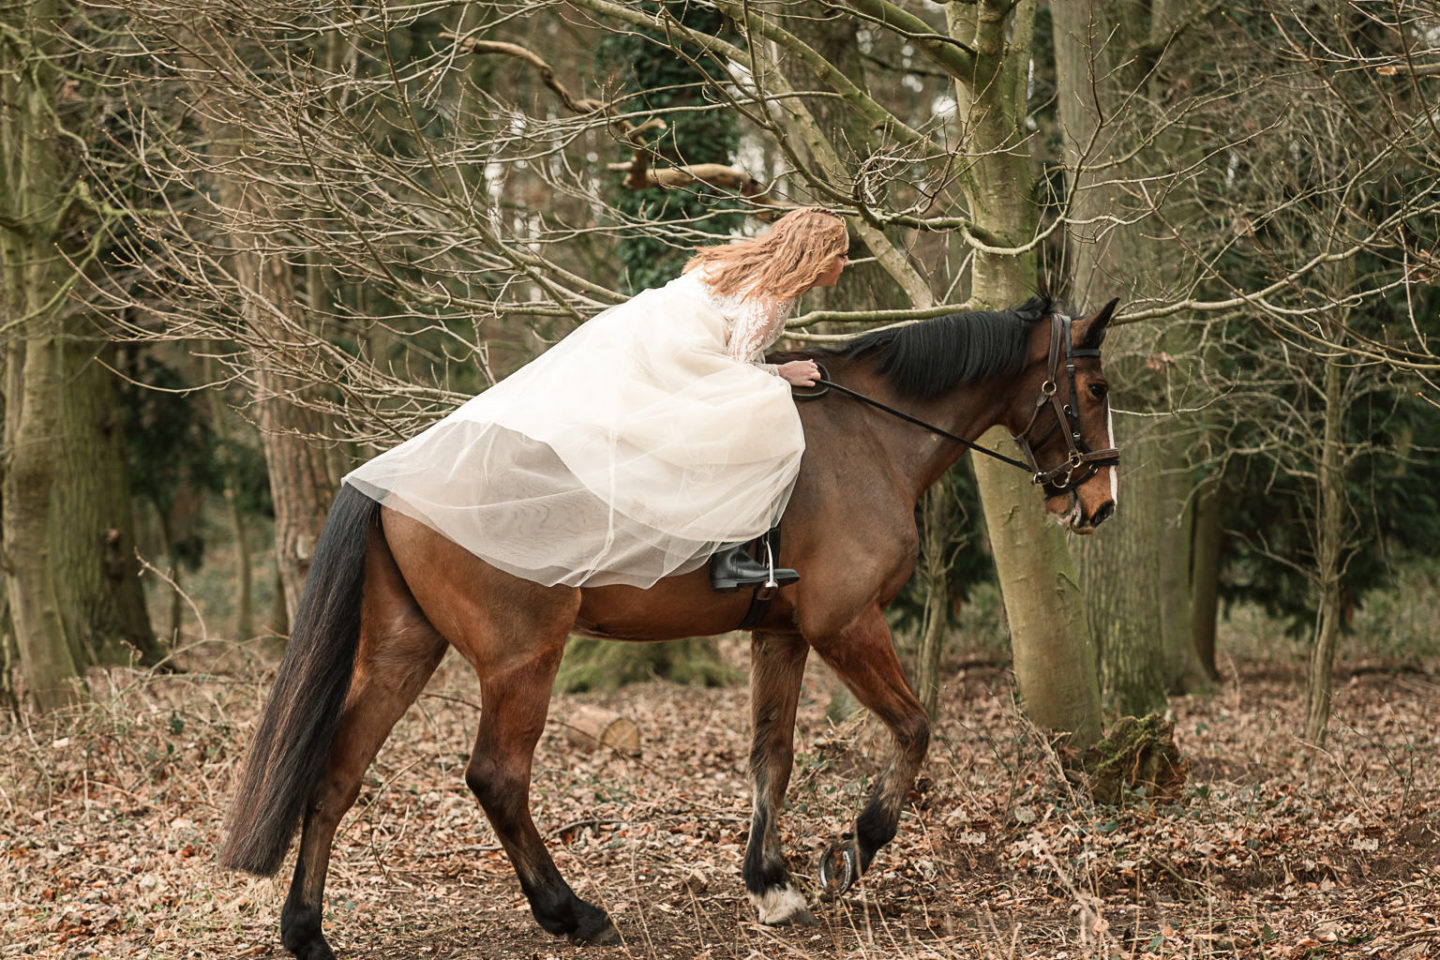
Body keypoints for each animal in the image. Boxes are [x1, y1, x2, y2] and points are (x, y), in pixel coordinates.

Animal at [218, 296, 1117, 955]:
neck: (870, 434)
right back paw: (570, 913)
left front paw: (771, 884)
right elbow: (914, 727)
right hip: (522, 658)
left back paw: (306, 932)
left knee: (337, 773)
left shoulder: (783, 633)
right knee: (497, 778)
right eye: (1097, 393)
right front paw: (850, 852)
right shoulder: (846, 624)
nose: (1100, 504)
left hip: (405, 651)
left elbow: (771, 754)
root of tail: (393, 474)